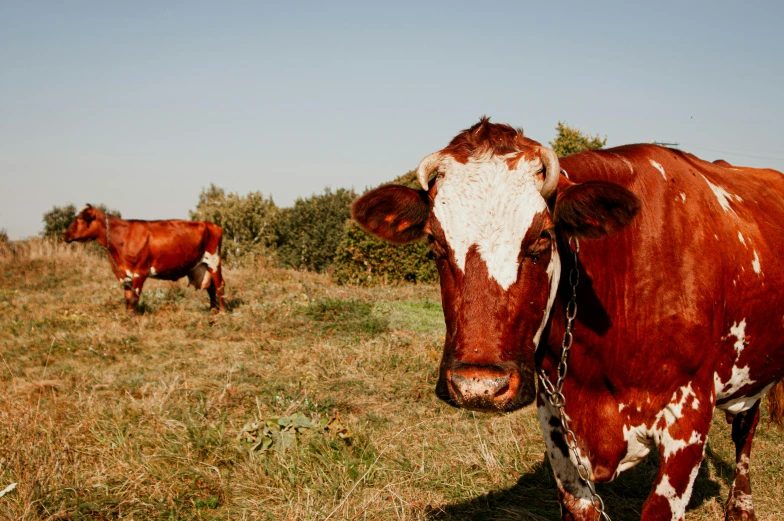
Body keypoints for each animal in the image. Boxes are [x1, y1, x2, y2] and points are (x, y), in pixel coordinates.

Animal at [63, 203, 225, 310]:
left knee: (219, 285)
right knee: (211, 288)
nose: (65, 235)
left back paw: (222, 312)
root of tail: (212, 225)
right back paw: (213, 311)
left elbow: (134, 298)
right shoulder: (125, 274)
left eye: (81, 219)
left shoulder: (139, 272)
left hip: (214, 262)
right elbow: (127, 299)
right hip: (201, 265)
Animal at [354, 119, 784, 520]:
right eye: (434, 242)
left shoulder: (690, 416)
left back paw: (741, 506)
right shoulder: (557, 421)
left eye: (543, 237)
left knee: (746, 428)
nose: (478, 386)